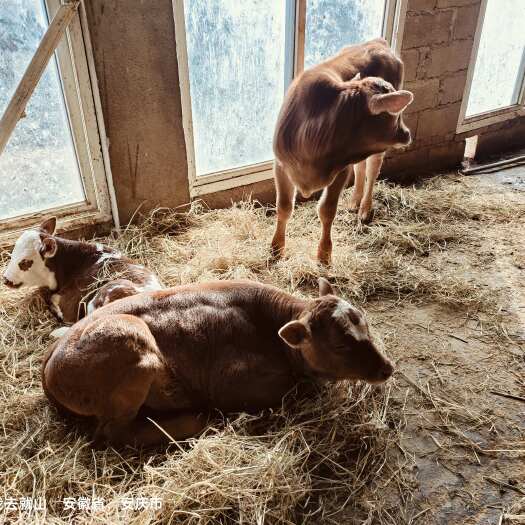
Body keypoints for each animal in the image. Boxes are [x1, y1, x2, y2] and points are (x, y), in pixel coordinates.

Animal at [42, 278, 392, 446]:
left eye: (364, 322)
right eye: (340, 344)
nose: (387, 368)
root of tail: (50, 361)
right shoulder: (233, 384)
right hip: (134, 346)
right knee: (113, 434)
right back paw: (196, 422)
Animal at [270, 38, 414, 264]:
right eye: (395, 113)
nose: (407, 133)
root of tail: (378, 42)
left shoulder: (340, 170)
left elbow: (327, 210)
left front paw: (324, 254)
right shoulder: (281, 165)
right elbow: (284, 207)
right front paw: (276, 248)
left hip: (376, 151)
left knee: (372, 170)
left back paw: (364, 208)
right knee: (361, 167)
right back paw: (354, 201)